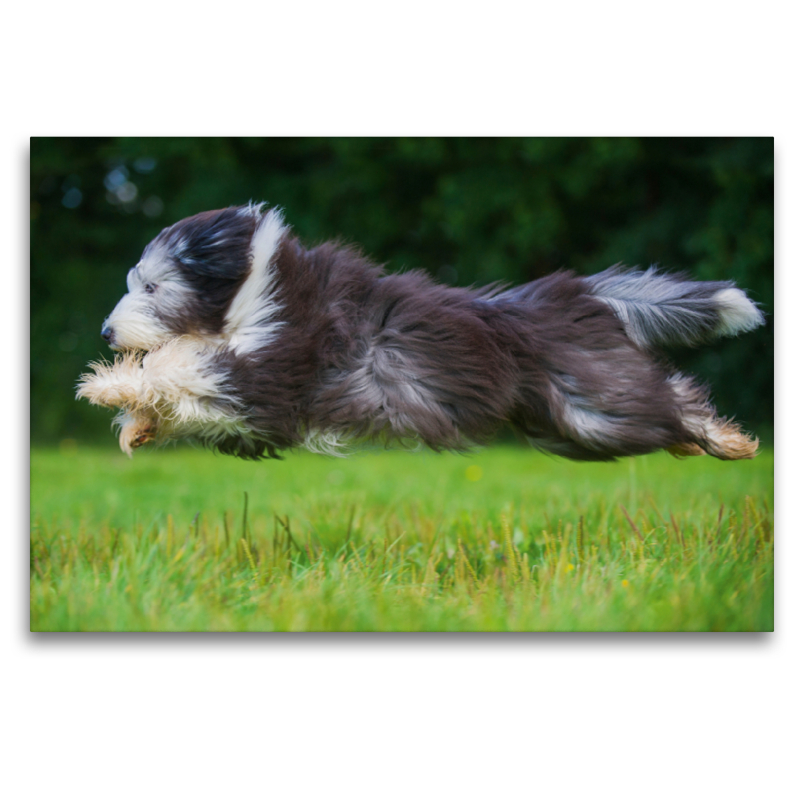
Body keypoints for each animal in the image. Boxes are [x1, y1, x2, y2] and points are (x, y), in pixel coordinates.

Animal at [78, 203, 764, 460]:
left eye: (152, 286)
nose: (108, 331)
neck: (257, 288)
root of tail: (566, 296)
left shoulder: (275, 368)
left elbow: (188, 364)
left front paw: (108, 388)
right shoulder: (253, 411)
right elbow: (186, 394)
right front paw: (136, 419)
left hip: (591, 403)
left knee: (668, 400)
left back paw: (725, 439)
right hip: (563, 421)